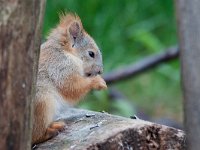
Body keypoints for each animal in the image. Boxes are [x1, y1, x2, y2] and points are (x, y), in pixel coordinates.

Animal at [32, 13, 108, 145]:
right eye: (91, 54)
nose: (100, 71)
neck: (66, 52)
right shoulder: (60, 68)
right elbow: (72, 87)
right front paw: (98, 82)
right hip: (42, 103)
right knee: (36, 135)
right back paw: (51, 131)